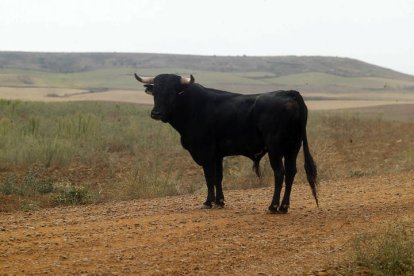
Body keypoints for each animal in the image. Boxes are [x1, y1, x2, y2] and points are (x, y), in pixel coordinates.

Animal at [135, 73, 316, 213]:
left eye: (172, 92)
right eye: (155, 91)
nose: (156, 113)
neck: (193, 107)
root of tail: (289, 93)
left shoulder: (206, 152)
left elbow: (209, 177)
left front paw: (208, 202)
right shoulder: (217, 155)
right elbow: (218, 177)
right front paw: (219, 201)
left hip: (275, 149)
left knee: (279, 173)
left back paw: (273, 206)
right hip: (293, 148)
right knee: (291, 172)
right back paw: (284, 207)